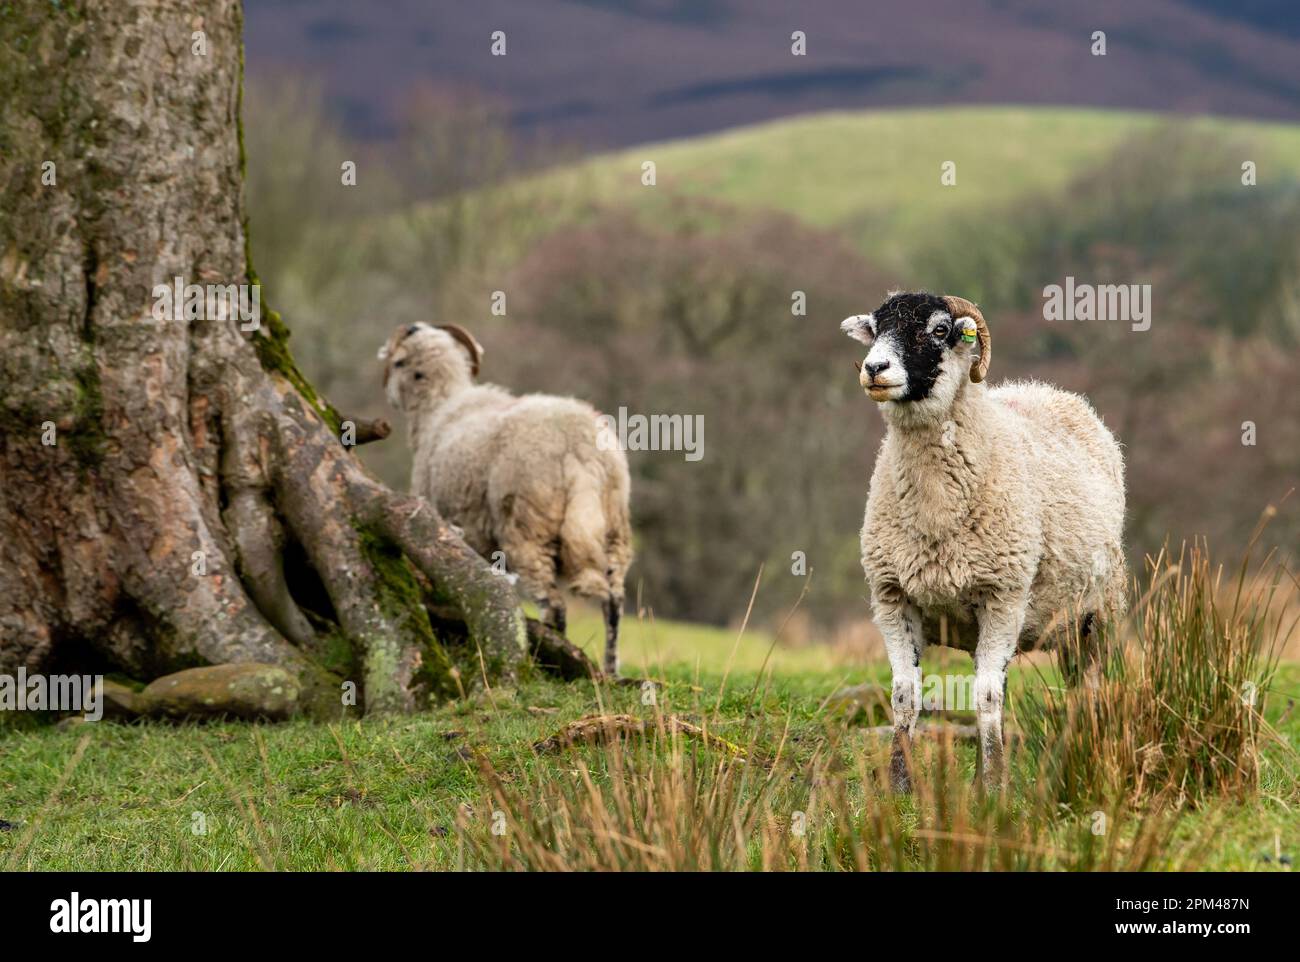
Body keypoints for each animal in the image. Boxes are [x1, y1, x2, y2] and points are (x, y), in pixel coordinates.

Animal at [379, 323, 631, 676]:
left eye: (397, 363)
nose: (388, 396)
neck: (439, 408)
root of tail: (579, 449)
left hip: (528, 528)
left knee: (554, 606)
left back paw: (552, 657)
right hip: (614, 528)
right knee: (614, 604)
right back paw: (611, 671)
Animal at [842, 291, 1128, 790]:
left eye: (939, 330)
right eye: (876, 329)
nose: (874, 368)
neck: (936, 514)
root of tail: (1049, 391)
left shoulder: (1003, 597)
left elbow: (987, 697)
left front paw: (992, 785)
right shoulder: (893, 597)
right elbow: (904, 696)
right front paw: (900, 785)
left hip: (1097, 616)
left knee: (1089, 687)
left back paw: (1085, 756)